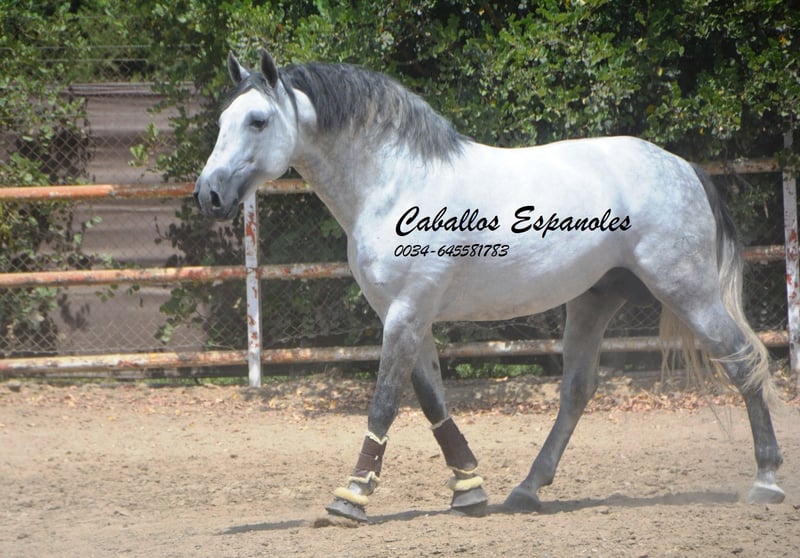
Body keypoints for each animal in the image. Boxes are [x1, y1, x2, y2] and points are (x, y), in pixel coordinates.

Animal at [194, 49, 785, 522]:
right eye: (224, 120)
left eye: (258, 120)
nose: (208, 194)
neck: (396, 183)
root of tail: (684, 167)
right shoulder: (406, 314)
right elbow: (431, 399)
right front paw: (469, 491)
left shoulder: (406, 312)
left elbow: (385, 401)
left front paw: (351, 498)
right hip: (595, 300)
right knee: (577, 390)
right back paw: (526, 491)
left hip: (688, 292)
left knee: (743, 361)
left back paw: (766, 481)